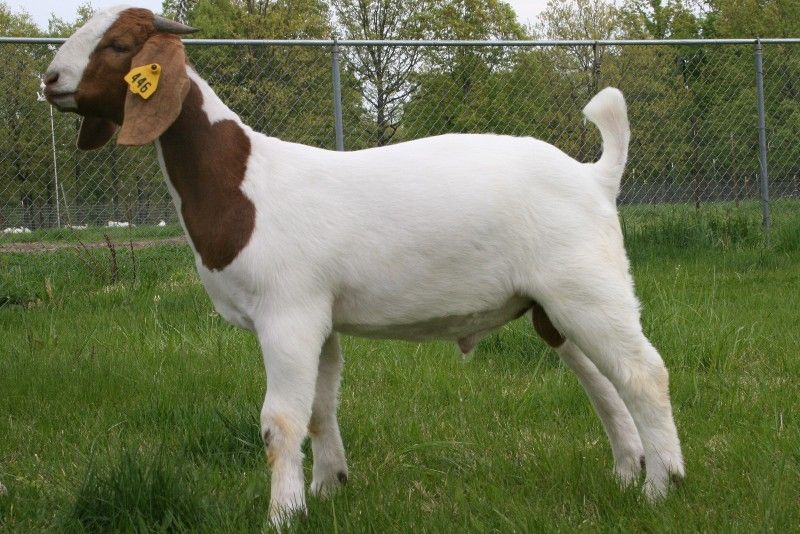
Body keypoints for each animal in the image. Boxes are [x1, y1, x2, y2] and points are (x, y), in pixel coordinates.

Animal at [43, 6, 684, 524]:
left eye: (119, 45)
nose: (49, 79)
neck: (244, 184)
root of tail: (595, 175)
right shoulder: (319, 319)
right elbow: (320, 408)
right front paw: (328, 487)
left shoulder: (288, 314)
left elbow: (280, 421)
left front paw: (283, 513)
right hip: (555, 303)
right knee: (600, 377)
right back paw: (628, 471)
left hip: (588, 284)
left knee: (642, 372)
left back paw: (663, 486)